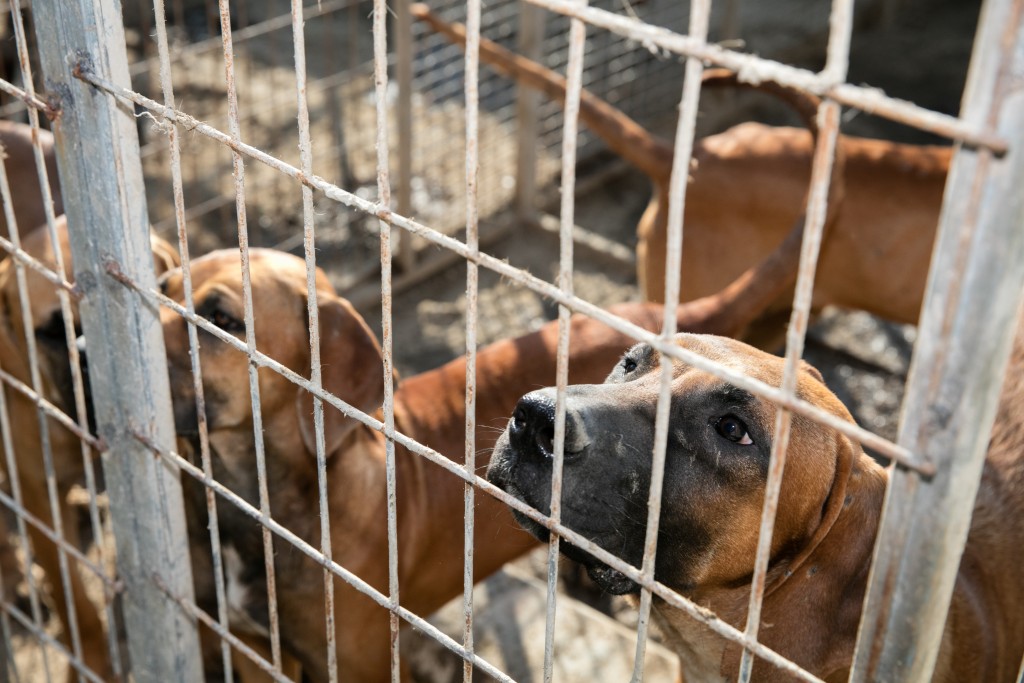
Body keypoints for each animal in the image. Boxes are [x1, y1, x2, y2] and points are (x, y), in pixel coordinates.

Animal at [0, 218, 178, 679]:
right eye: (50, 333)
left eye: (161, 288)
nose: (86, 354)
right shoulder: (41, 504)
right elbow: (77, 606)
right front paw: (94, 664)